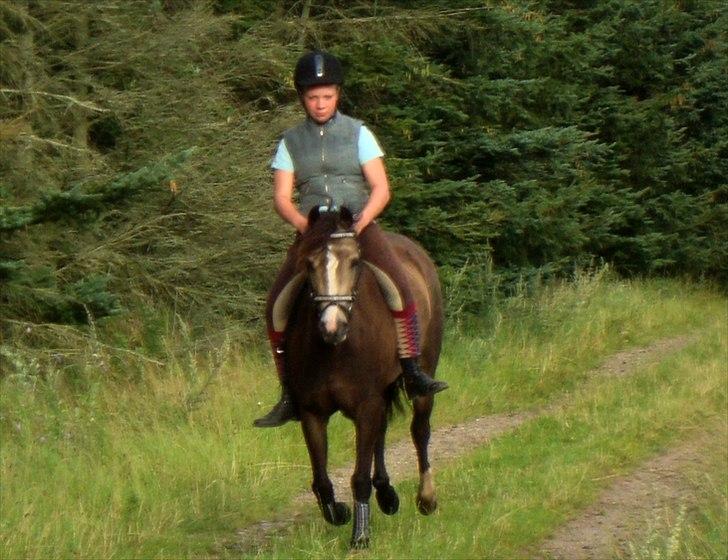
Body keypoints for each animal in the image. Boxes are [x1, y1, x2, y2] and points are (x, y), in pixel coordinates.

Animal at [282, 206, 444, 549]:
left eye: (355, 262)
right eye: (309, 264)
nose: (332, 327)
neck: (336, 350)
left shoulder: (366, 404)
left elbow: (358, 476)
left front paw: (360, 536)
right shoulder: (312, 412)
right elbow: (321, 479)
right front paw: (339, 512)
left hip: (424, 369)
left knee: (420, 429)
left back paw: (426, 498)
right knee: (382, 433)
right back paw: (387, 494)